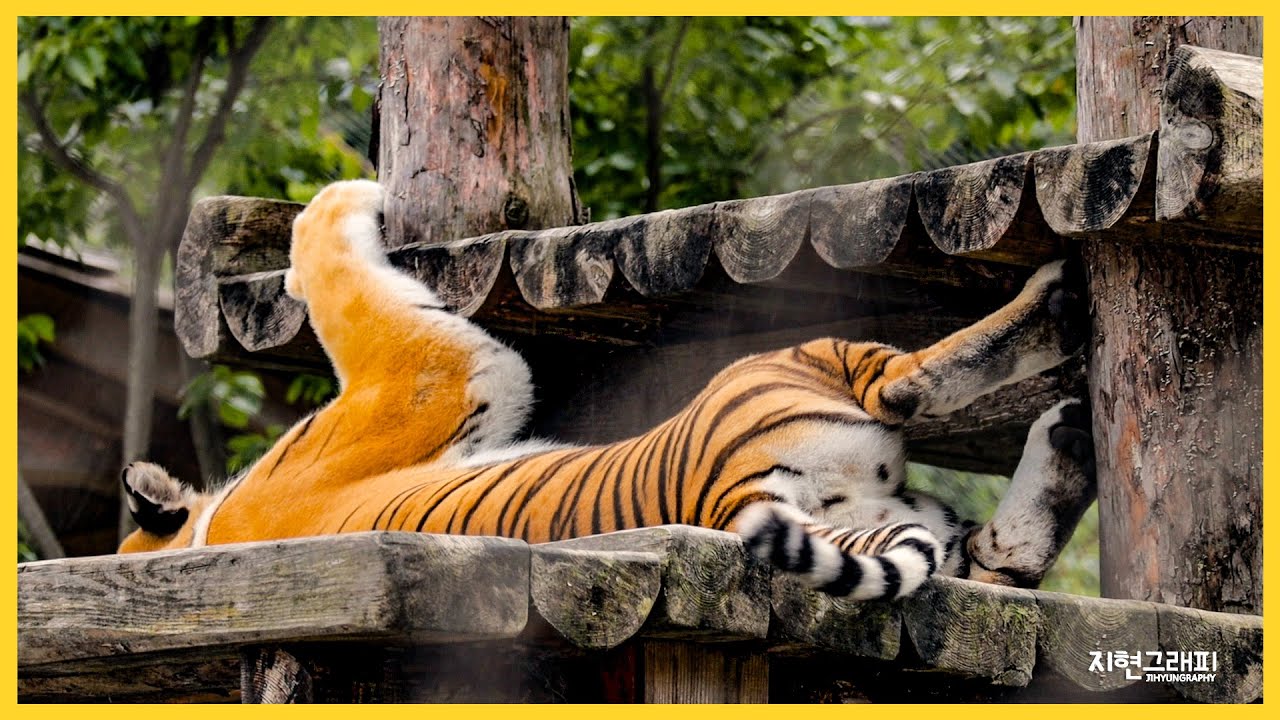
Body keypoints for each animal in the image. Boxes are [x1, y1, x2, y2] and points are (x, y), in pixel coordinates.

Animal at [118, 179, 1096, 601]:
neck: (211, 530)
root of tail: (728, 496)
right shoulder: (425, 376)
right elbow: (327, 262)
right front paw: (353, 187)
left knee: (995, 557)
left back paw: (1068, 446)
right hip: (795, 364)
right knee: (906, 387)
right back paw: (1057, 320)